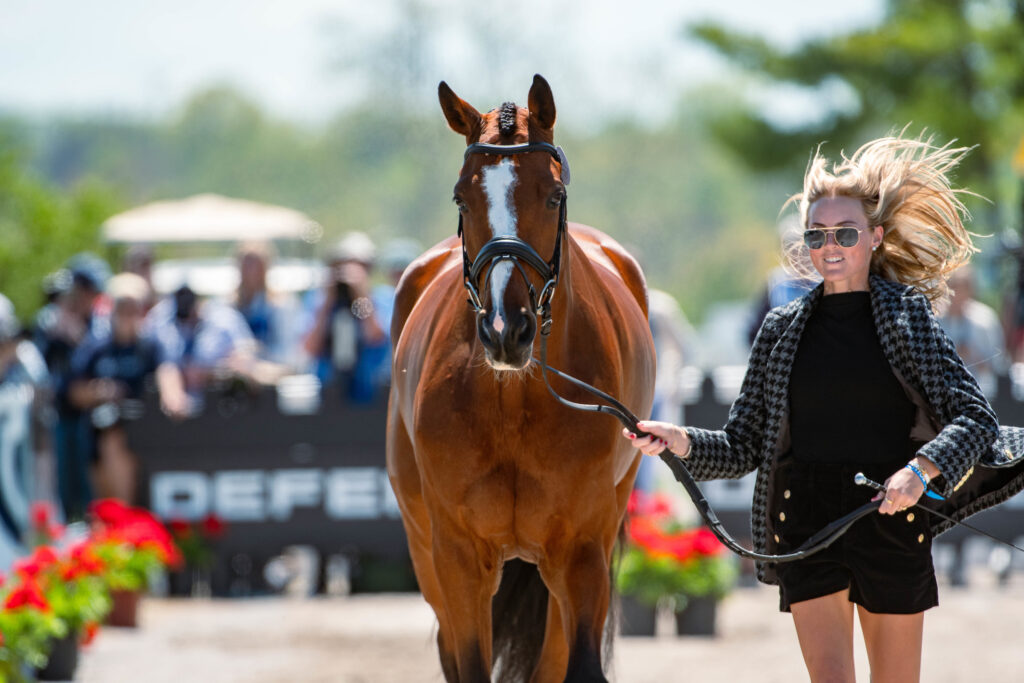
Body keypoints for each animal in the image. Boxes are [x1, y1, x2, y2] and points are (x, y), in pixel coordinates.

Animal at [386, 74, 655, 682]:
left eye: (553, 195)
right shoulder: (457, 561)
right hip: (425, 553)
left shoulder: (581, 554)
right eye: (461, 197)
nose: (506, 330)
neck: (511, 403)